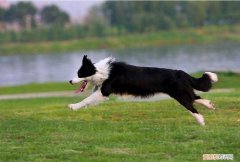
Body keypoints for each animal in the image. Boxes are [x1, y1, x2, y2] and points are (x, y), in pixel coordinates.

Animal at [69, 55, 218, 125]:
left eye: (80, 74)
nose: (70, 81)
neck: (101, 71)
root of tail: (182, 73)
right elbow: (88, 99)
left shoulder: (104, 91)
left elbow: (86, 99)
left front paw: (73, 106)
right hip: (182, 92)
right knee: (196, 98)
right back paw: (210, 105)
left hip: (180, 95)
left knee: (192, 106)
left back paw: (201, 121)